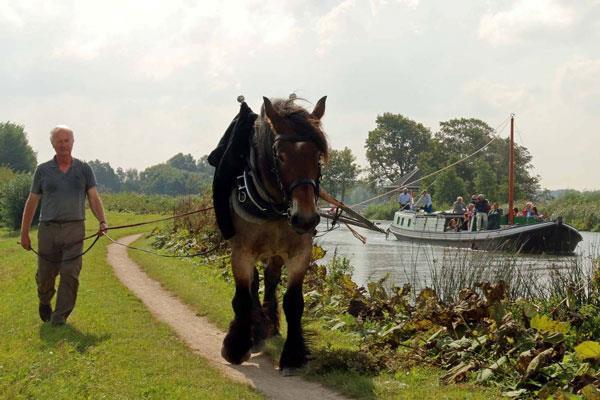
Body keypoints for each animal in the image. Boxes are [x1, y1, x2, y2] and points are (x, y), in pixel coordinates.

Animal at [221, 95, 328, 374]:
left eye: (318, 155)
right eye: (280, 156)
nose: (305, 218)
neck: (274, 209)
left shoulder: (300, 253)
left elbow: (294, 302)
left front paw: (293, 355)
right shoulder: (241, 252)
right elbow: (243, 297)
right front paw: (236, 345)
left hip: (276, 254)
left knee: (269, 280)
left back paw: (268, 325)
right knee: (254, 284)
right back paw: (257, 329)